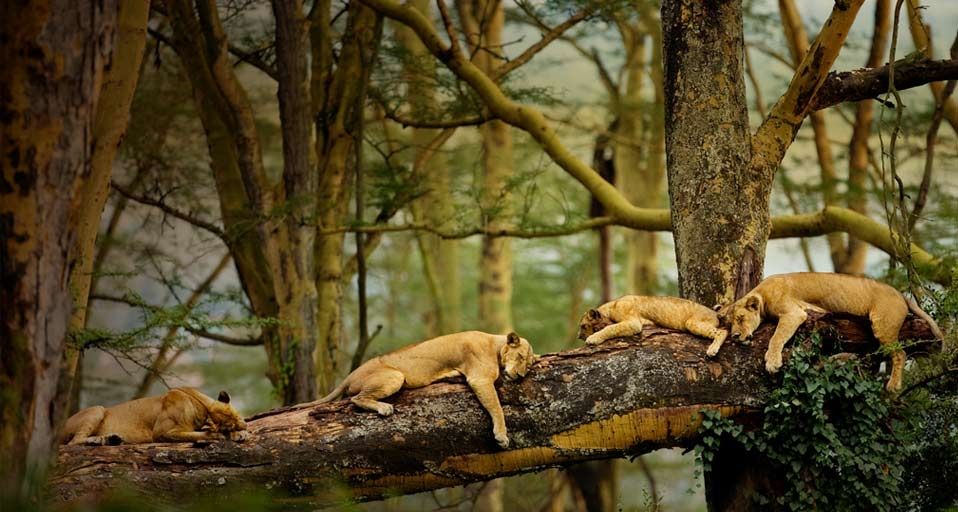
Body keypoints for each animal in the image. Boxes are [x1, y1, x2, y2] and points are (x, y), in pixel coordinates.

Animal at [60, 387, 248, 445]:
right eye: (229, 425)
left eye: (239, 416)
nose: (244, 426)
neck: (202, 406)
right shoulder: (162, 433)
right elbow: (198, 434)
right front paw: (222, 435)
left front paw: (240, 434)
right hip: (97, 409)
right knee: (73, 442)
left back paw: (109, 439)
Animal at [296, 331, 536, 449]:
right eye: (520, 357)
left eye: (529, 364)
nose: (520, 375)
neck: (496, 345)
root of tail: (350, 375)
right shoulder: (480, 379)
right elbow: (497, 408)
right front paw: (502, 436)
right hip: (394, 376)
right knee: (355, 398)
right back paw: (384, 408)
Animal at [578, 295, 730, 356]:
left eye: (583, 326)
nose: (578, 337)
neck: (610, 308)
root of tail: (715, 313)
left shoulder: (633, 322)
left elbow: (611, 328)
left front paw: (592, 338)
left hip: (692, 322)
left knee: (723, 332)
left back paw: (712, 350)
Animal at [721, 272, 943, 392]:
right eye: (730, 324)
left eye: (740, 318)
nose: (735, 336)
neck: (761, 294)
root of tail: (900, 293)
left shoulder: (794, 313)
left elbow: (776, 337)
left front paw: (772, 362)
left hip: (883, 325)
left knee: (900, 353)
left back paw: (893, 385)